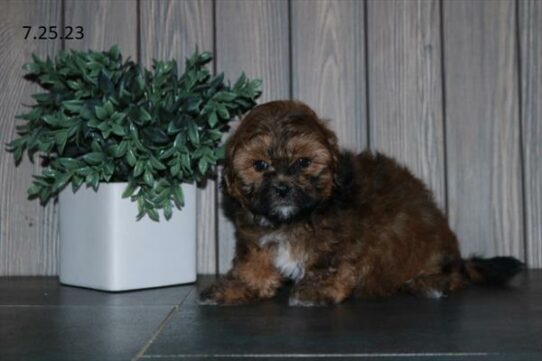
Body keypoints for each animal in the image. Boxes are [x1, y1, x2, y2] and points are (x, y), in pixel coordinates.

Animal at [201, 100, 528, 306]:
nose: (282, 187)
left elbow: (327, 262)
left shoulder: (338, 240)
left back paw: (430, 282)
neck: (292, 220)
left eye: (303, 162)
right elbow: (252, 264)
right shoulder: (256, 239)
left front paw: (316, 289)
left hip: (432, 244)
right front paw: (239, 286)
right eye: (260, 165)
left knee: (452, 276)